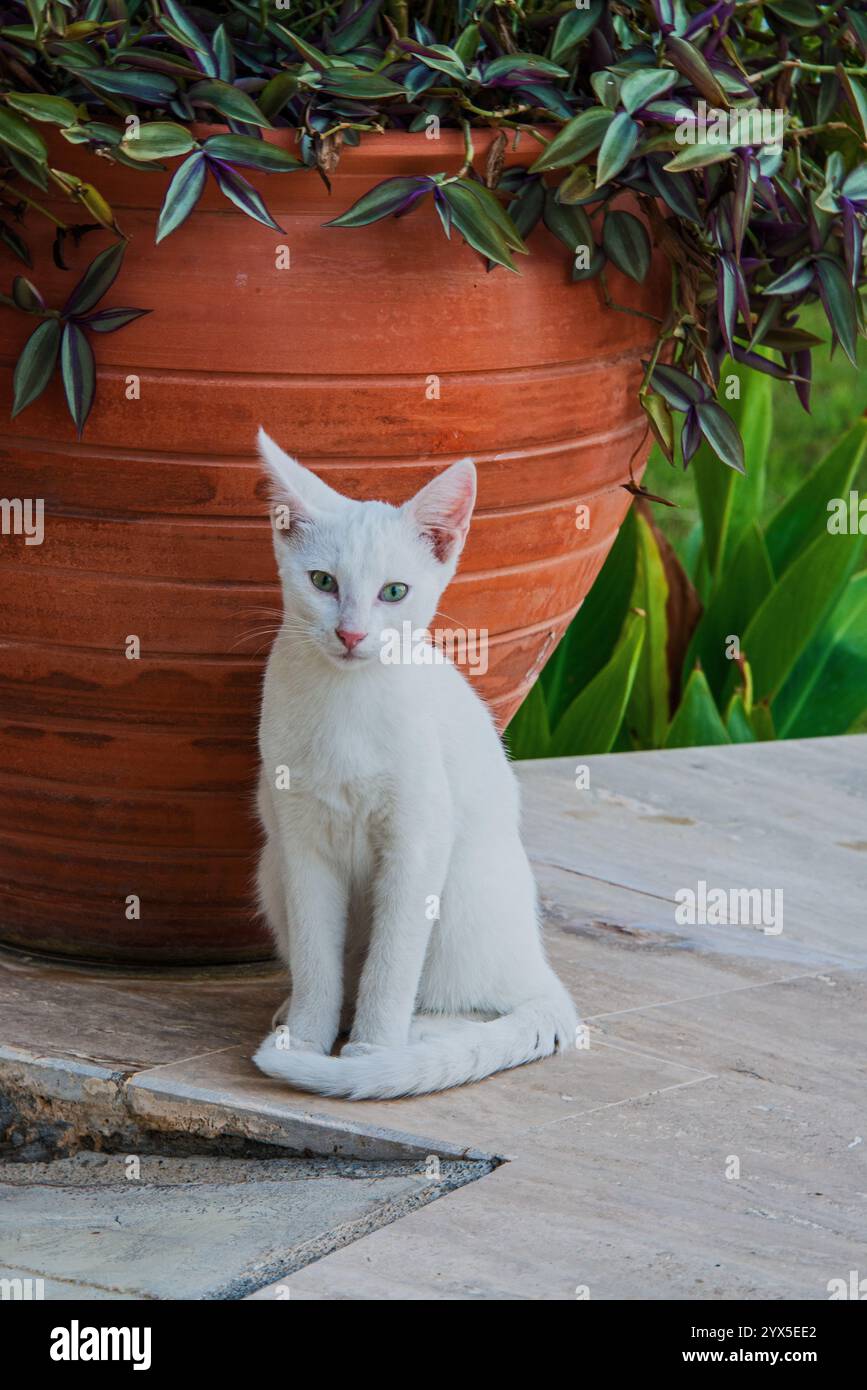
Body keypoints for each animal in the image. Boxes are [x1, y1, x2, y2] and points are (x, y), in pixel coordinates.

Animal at [250, 422, 575, 1095]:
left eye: (394, 592)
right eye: (323, 582)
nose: (350, 634)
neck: (347, 701)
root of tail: (538, 968)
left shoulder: (418, 840)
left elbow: (391, 964)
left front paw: (370, 1052)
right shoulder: (301, 842)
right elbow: (318, 961)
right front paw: (309, 1037)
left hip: (462, 891)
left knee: (481, 1006)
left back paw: (421, 1036)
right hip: (271, 868)